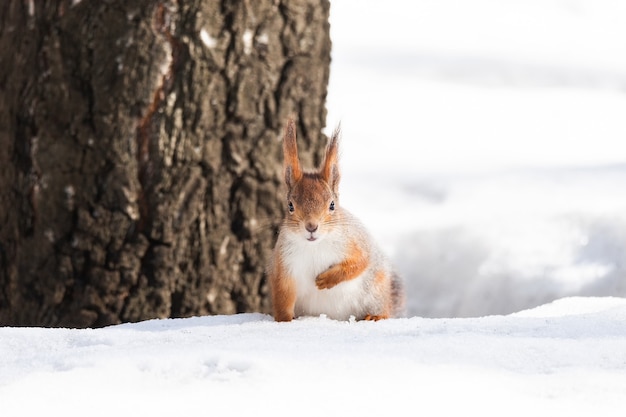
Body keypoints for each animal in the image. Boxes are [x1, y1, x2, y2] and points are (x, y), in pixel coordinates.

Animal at [266, 118, 402, 320]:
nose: (311, 227)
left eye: (332, 205)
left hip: (377, 289)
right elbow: (283, 297)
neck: (315, 246)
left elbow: (360, 262)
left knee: (384, 308)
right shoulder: (283, 265)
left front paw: (326, 280)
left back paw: (375, 316)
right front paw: (284, 321)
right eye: (290, 205)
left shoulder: (355, 243)